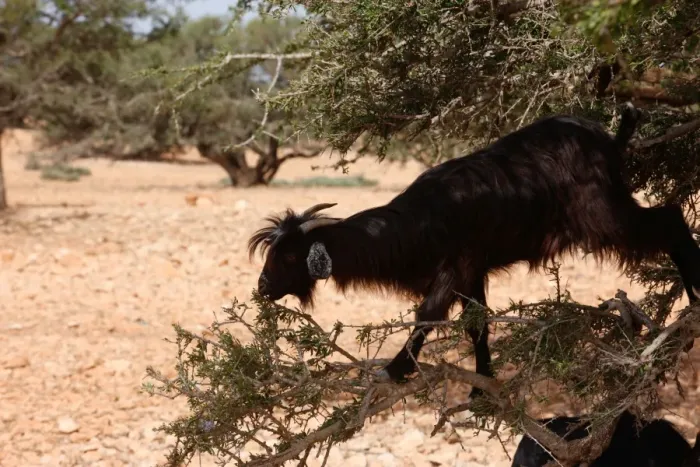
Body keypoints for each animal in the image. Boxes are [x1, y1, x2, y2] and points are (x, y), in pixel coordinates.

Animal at [248, 102, 700, 398]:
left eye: (289, 256)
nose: (263, 287)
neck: (416, 223)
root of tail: (608, 140)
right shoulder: (472, 273)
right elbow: (476, 324)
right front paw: (483, 385)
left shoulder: (456, 265)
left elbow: (428, 316)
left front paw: (395, 370)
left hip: (602, 214)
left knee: (670, 220)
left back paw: (694, 299)